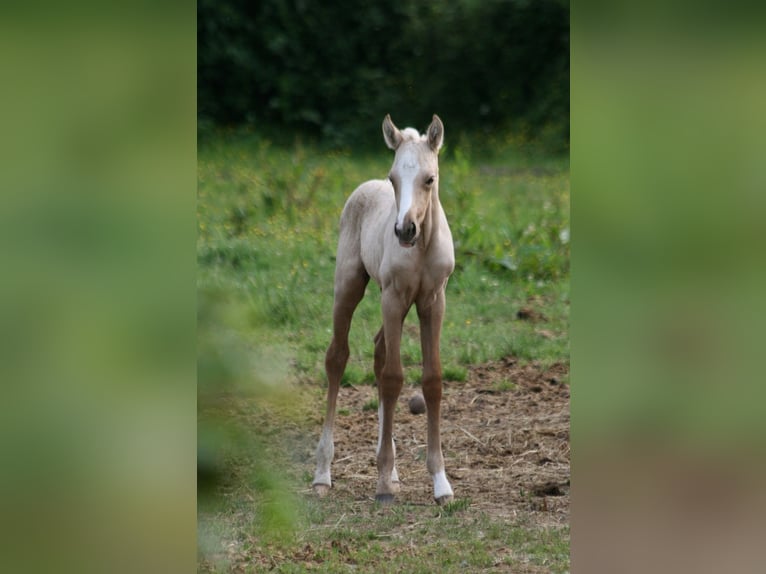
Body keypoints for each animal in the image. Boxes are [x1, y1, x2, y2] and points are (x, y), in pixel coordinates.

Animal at [314, 115, 456, 506]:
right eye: (394, 178)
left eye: (430, 179)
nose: (403, 230)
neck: (422, 246)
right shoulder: (393, 296)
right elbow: (393, 378)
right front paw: (381, 485)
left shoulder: (433, 300)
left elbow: (432, 380)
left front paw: (441, 483)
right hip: (350, 285)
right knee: (337, 357)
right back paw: (323, 473)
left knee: (379, 350)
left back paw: (390, 471)